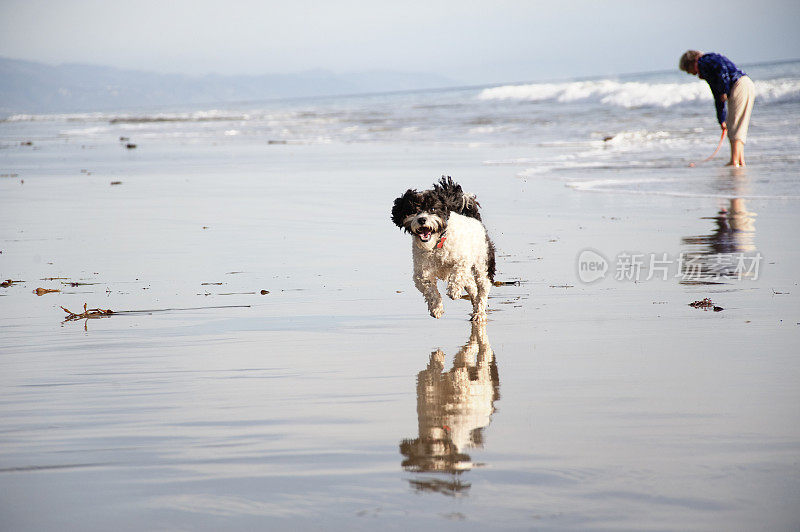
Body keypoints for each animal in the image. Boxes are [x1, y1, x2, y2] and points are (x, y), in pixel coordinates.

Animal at [392, 178, 496, 320]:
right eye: (413, 210)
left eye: (433, 208)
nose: (422, 219)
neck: (436, 245)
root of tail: (475, 220)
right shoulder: (422, 273)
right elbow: (430, 290)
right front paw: (436, 308)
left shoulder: (462, 260)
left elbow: (457, 273)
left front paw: (454, 291)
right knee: (472, 286)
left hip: (483, 264)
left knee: (483, 289)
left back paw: (479, 313)